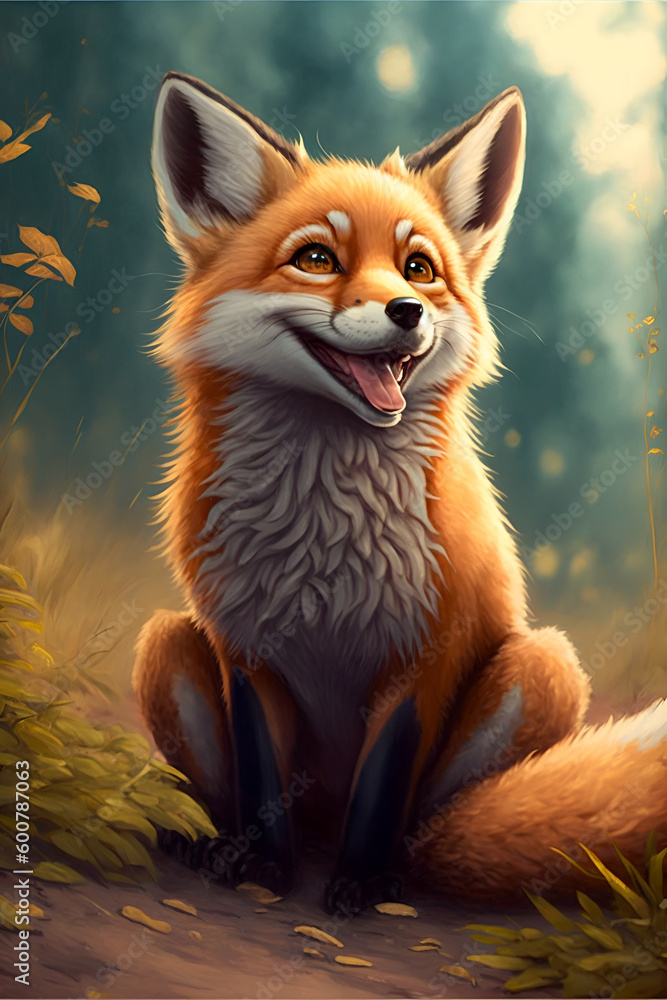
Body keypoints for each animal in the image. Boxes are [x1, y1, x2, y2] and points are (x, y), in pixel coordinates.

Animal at [133, 71, 667, 913]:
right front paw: (266, 871)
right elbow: (260, 783)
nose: (406, 311)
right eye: (316, 257)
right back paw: (205, 840)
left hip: (541, 665)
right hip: (162, 641)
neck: (322, 542)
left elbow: (382, 790)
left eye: (418, 268)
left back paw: (398, 872)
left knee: (429, 832)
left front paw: (356, 886)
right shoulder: (245, 651)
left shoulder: (428, 656)